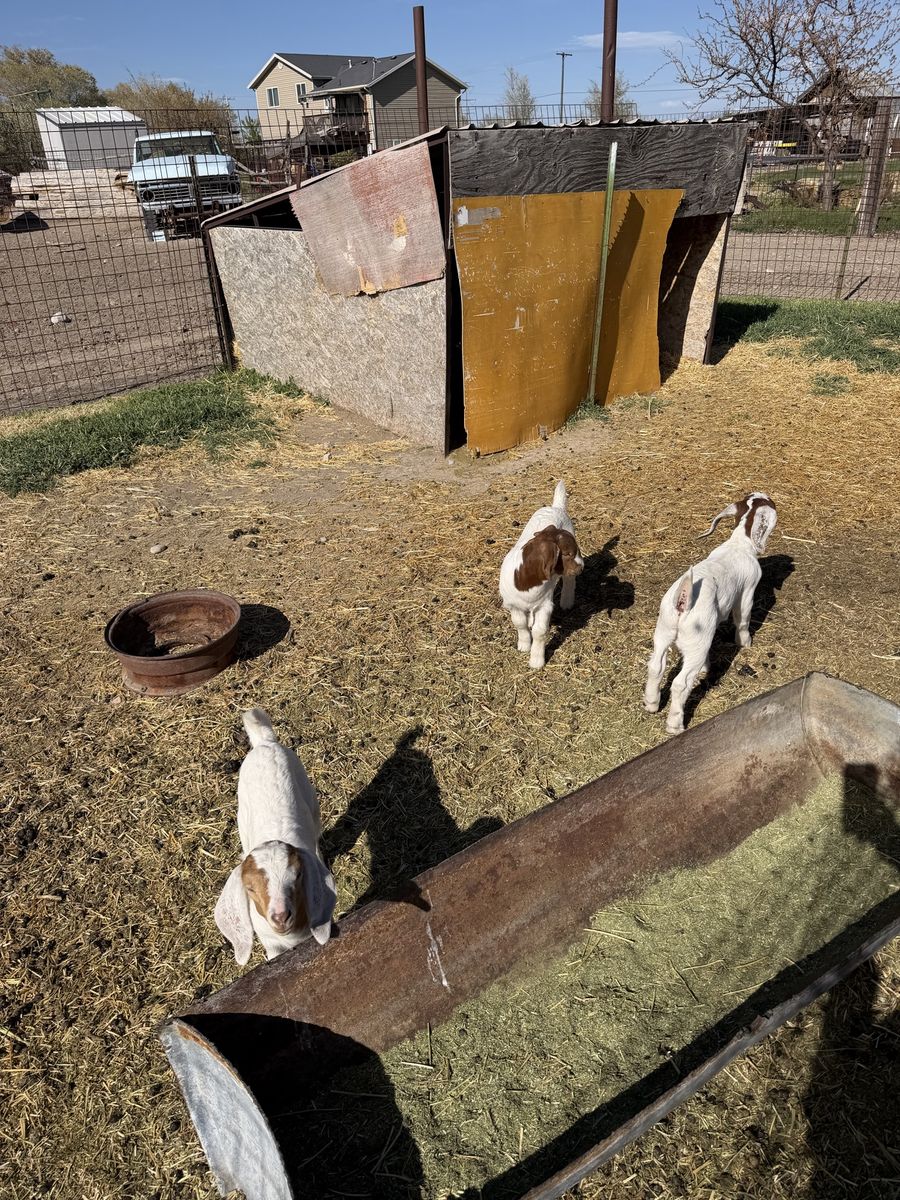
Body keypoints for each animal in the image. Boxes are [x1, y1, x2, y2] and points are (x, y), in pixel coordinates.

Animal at [214, 708, 336, 965]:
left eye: (298, 875)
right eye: (249, 888)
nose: (281, 917)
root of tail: (265, 743)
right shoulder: (271, 944)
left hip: (311, 800)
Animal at [499, 480, 584, 669]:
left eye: (573, 552)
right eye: (567, 554)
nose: (582, 566)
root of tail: (555, 507)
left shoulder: (545, 605)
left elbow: (539, 631)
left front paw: (536, 660)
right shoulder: (513, 604)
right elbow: (520, 623)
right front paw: (524, 645)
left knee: (569, 580)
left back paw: (567, 601)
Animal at [643, 492, 778, 734]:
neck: (738, 544)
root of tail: (682, 602)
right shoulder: (748, 591)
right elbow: (742, 619)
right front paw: (745, 643)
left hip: (664, 630)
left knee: (656, 666)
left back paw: (651, 703)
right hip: (696, 641)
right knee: (681, 683)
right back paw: (675, 725)